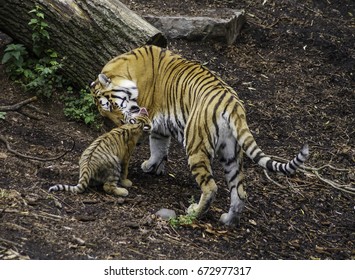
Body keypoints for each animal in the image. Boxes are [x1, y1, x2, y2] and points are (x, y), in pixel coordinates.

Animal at [90, 45, 310, 225]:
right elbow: (159, 147)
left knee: (211, 187)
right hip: (231, 153)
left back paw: (195, 213)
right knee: (239, 191)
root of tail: (233, 104)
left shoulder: (148, 119)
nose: (120, 122)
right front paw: (152, 166)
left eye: (110, 106)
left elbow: (153, 144)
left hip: (196, 145)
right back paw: (228, 221)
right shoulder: (160, 128)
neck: (127, 71)